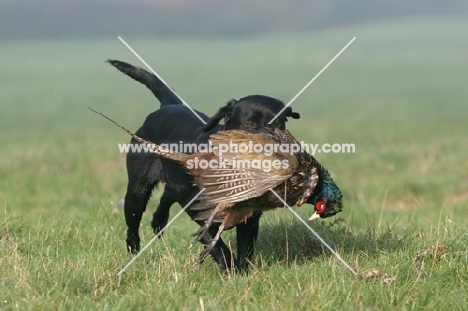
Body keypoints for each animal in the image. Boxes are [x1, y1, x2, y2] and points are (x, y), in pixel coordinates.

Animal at [108, 60, 300, 270]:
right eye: (250, 124)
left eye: (279, 125)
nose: (271, 144)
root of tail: (168, 106)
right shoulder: (198, 210)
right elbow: (216, 244)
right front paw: (229, 268)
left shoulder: (249, 216)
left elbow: (245, 247)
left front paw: (243, 270)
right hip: (138, 189)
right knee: (133, 223)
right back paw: (133, 254)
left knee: (167, 194)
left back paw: (158, 222)